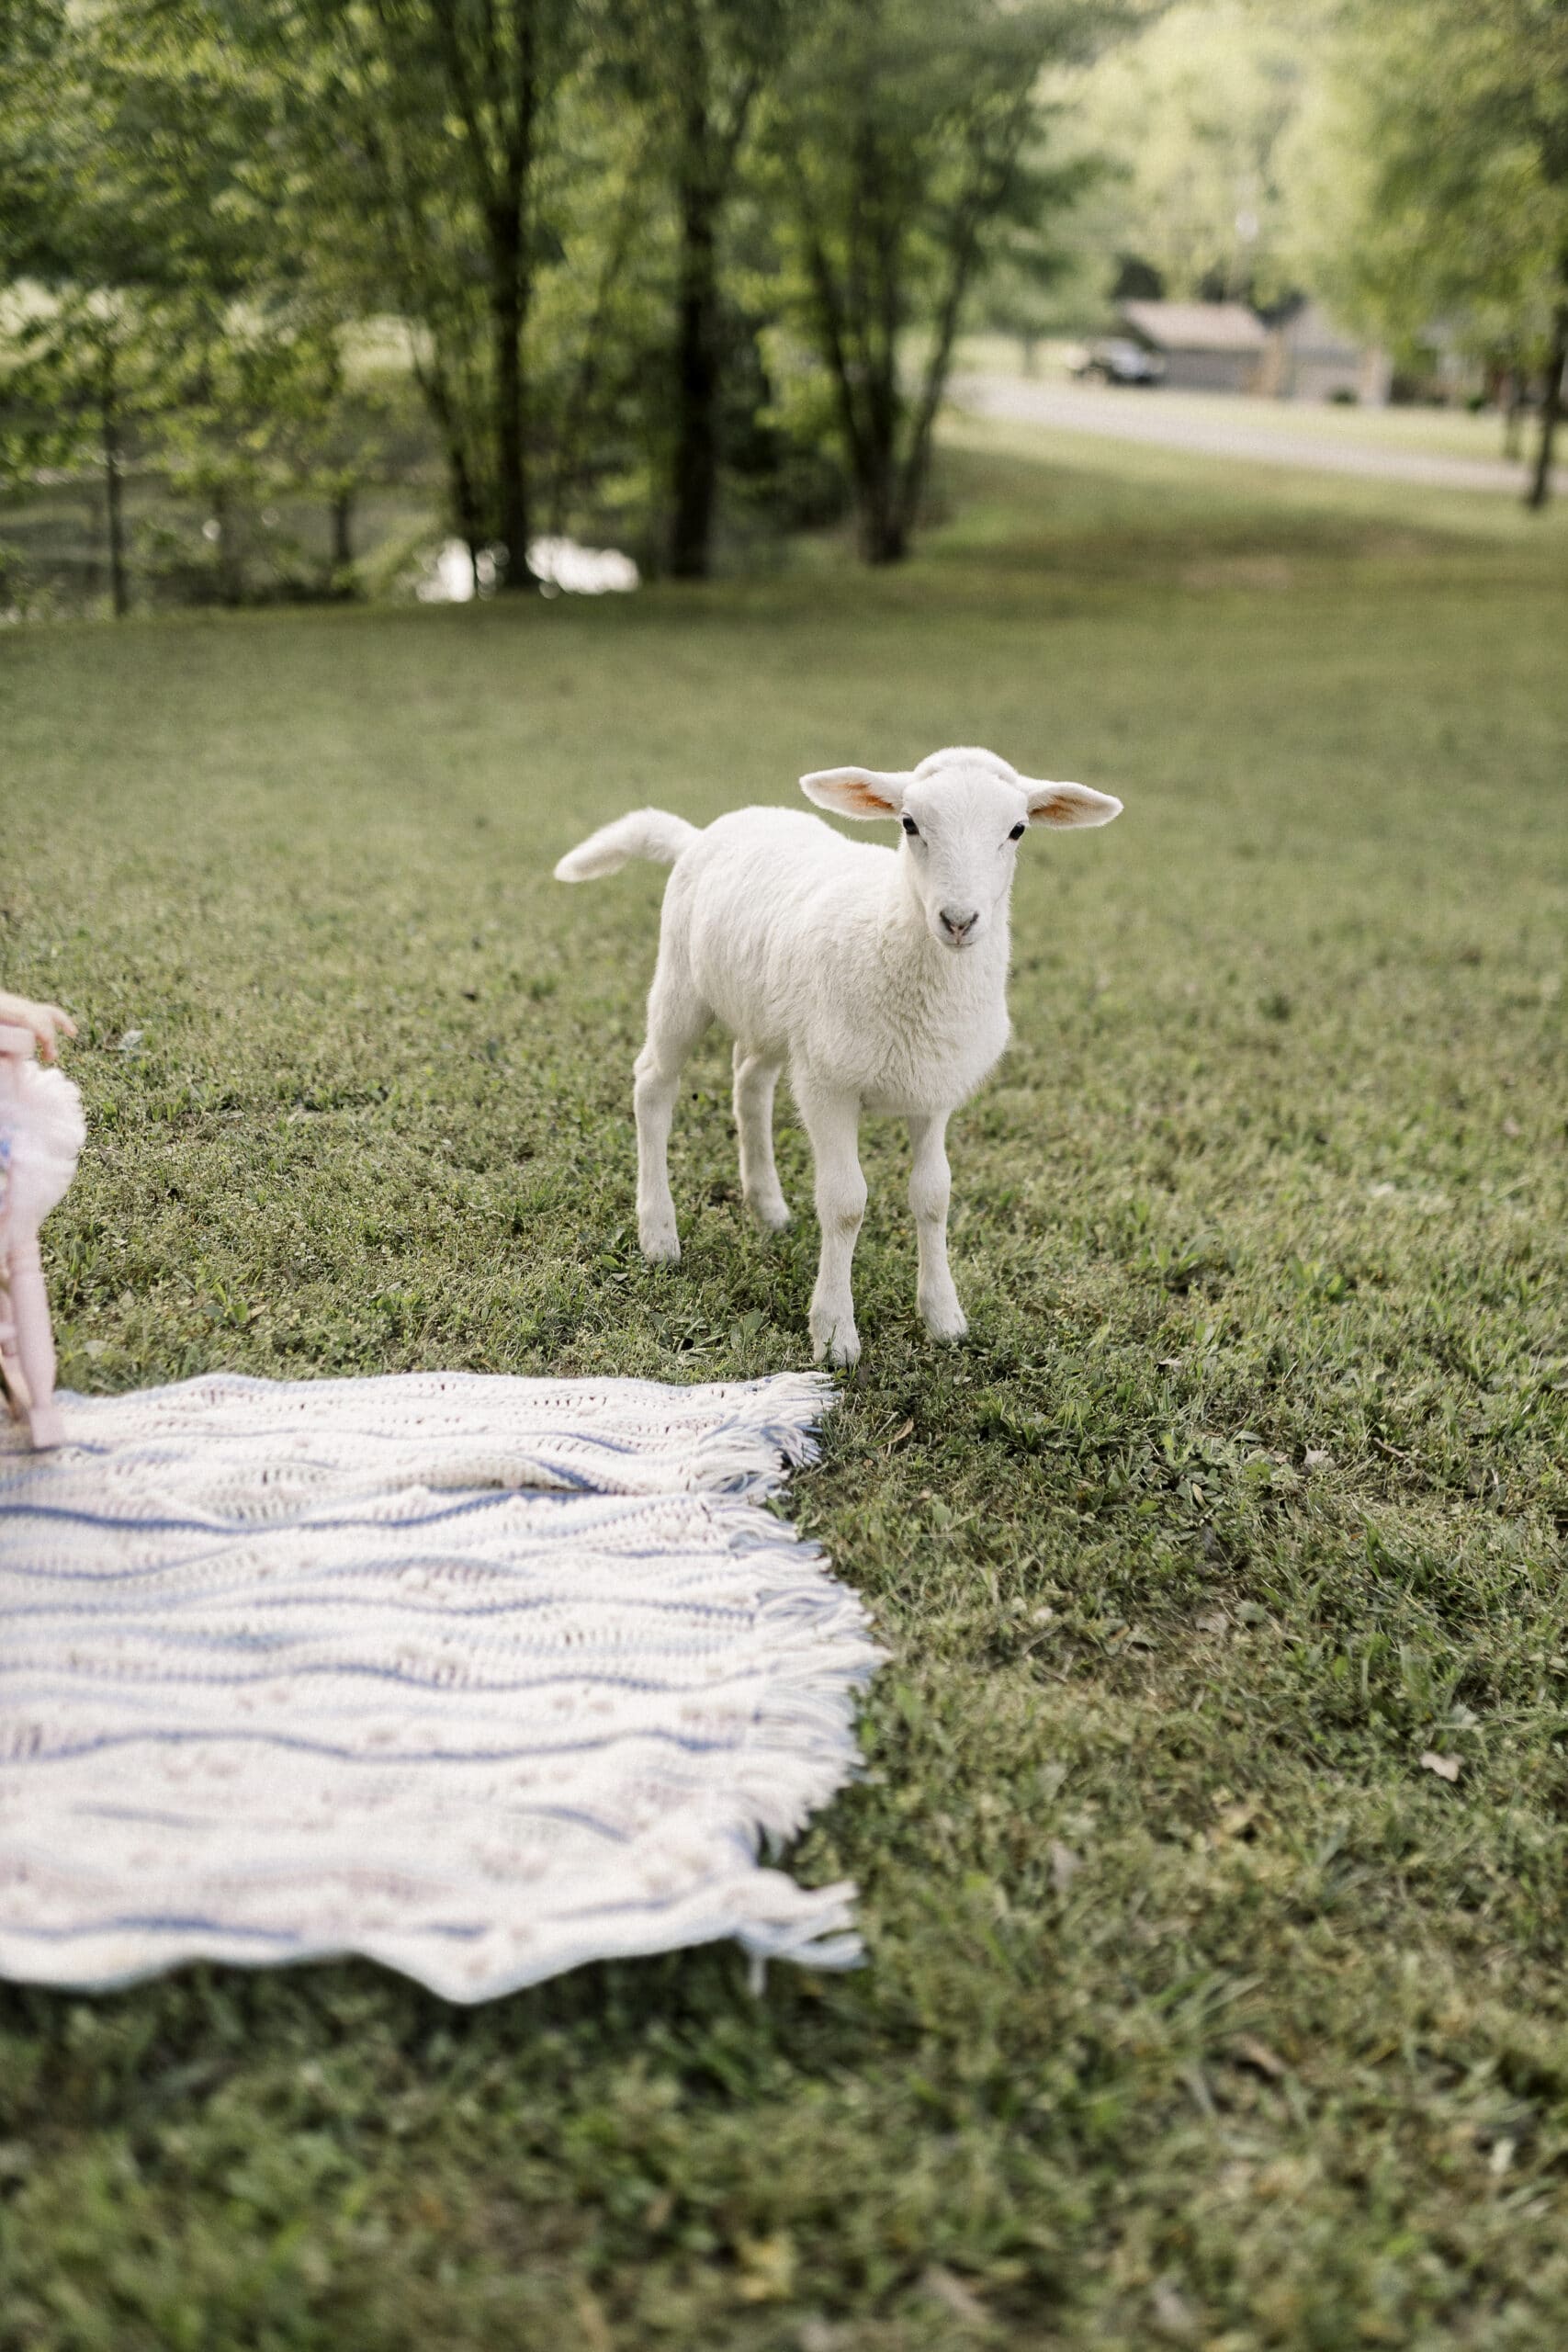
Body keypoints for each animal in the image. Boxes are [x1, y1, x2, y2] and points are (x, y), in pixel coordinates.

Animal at [554, 747, 1122, 1365]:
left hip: (776, 1016)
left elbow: (934, 1195)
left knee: (749, 1082)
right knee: (654, 1085)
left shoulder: (933, 1090)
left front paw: (943, 1316)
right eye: (909, 823)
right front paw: (834, 1335)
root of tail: (700, 834)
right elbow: (845, 1203)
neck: (893, 927)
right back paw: (659, 1233)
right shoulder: (828, 1085)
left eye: (1017, 830)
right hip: (683, 982)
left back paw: (768, 1207)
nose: (959, 920)